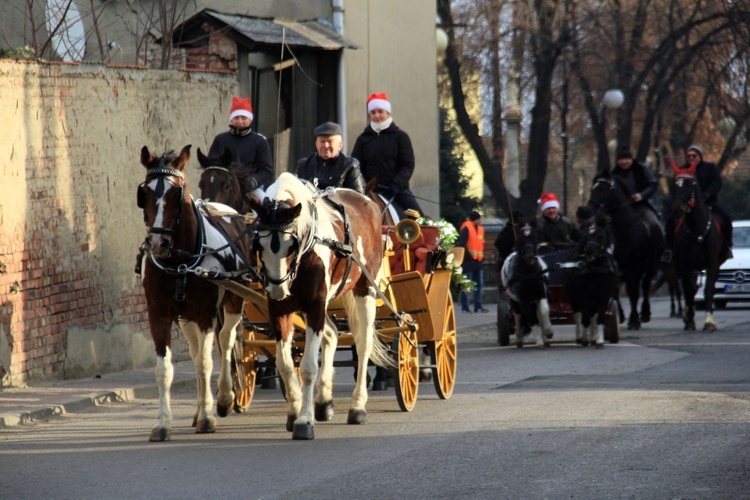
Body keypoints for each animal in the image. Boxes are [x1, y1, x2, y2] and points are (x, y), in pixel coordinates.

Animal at [137, 145, 251, 442]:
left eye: (177, 192)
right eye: (145, 193)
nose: (159, 243)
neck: (180, 260)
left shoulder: (205, 314)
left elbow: (206, 364)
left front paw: (210, 416)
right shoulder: (159, 314)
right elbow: (165, 370)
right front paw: (163, 423)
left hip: (232, 303)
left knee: (225, 342)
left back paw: (224, 398)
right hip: (186, 319)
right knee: (197, 350)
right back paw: (200, 409)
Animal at [251, 174, 394, 440]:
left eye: (291, 246)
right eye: (259, 246)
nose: (277, 289)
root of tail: (366, 200)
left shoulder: (315, 306)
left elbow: (308, 367)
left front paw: (304, 420)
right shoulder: (279, 310)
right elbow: (284, 364)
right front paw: (294, 411)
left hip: (365, 289)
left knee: (363, 344)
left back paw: (357, 406)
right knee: (332, 333)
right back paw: (324, 401)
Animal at [502, 221, 556, 350]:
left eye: (535, 237)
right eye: (521, 239)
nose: (529, 256)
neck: (529, 275)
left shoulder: (541, 294)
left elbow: (544, 311)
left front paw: (548, 332)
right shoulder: (523, 300)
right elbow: (531, 319)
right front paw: (539, 342)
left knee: (539, 315)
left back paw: (545, 338)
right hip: (514, 301)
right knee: (518, 317)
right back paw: (519, 339)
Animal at [588, 170, 664, 330]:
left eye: (603, 188)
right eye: (592, 188)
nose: (588, 210)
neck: (622, 230)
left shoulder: (635, 268)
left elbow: (633, 292)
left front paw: (634, 320)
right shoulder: (614, 266)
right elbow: (614, 290)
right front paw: (620, 315)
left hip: (651, 265)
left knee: (645, 286)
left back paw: (645, 313)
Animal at [668, 166, 728, 332]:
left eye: (689, 185)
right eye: (675, 185)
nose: (677, 210)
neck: (697, 228)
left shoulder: (712, 262)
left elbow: (708, 289)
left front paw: (709, 321)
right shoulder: (684, 264)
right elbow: (688, 289)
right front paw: (689, 321)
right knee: (688, 289)